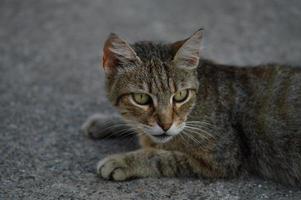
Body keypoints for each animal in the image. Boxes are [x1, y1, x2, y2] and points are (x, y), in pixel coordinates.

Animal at [81, 28, 298, 186]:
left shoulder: (222, 159)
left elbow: (162, 157)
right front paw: (105, 122)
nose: (166, 125)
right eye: (141, 98)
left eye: (180, 96)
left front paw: (124, 161)